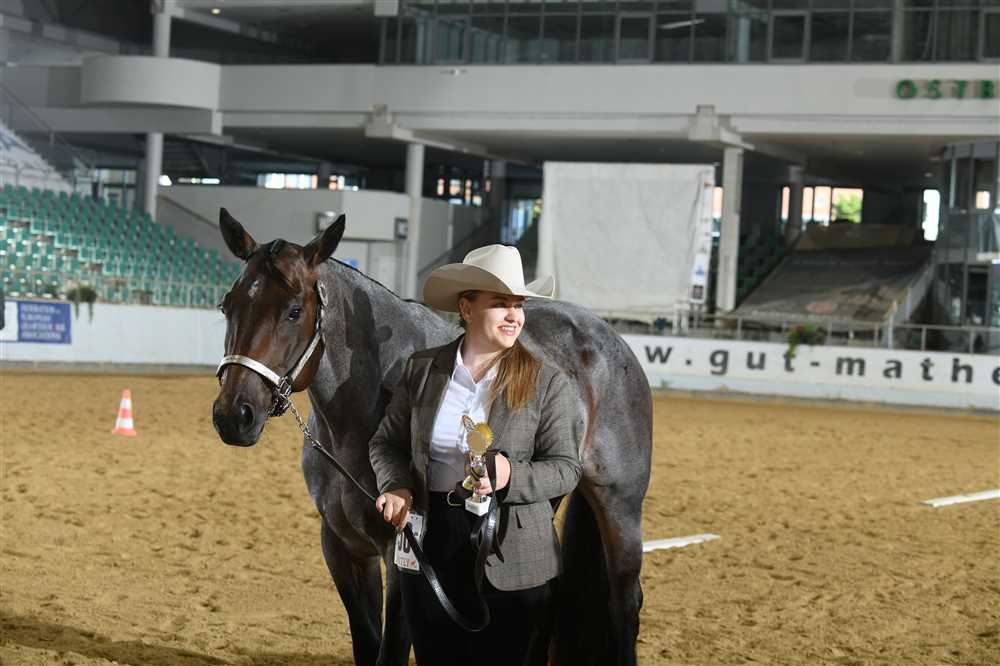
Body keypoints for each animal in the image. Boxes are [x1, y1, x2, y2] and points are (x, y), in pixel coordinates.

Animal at [211, 208, 652, 666]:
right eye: (227, 305)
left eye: (295, 311)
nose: (234, 415)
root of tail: (608, 338)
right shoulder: (342, 546)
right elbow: (366, 641)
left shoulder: (402, 552)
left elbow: (391, 649)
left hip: (619, 507)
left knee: (624, 602)